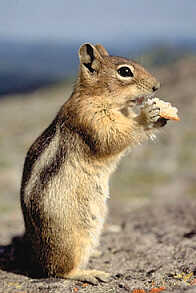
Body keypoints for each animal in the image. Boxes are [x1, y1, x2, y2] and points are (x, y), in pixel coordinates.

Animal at [19, 42, 167, 282]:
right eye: (125, 71)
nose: (157, 86)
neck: (96, 96)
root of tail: (37, 261)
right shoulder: (91, 119)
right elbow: (115, 137)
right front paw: (147, 115)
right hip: (69, 241)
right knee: (60, 271)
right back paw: (90, 273)